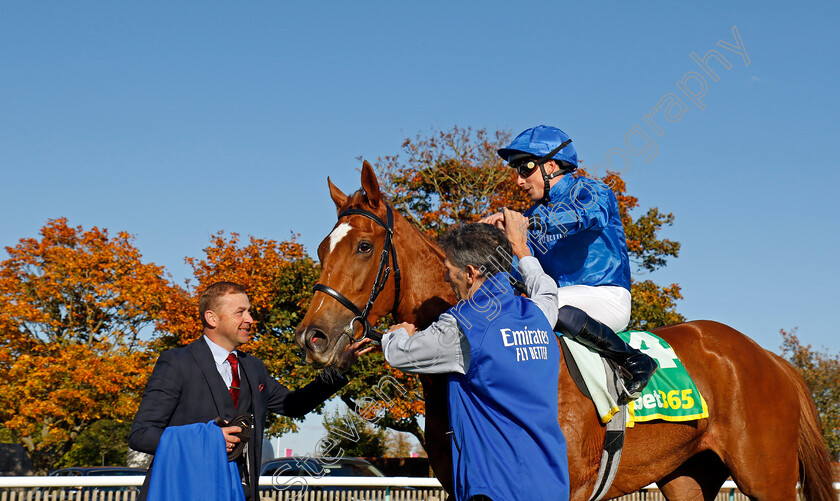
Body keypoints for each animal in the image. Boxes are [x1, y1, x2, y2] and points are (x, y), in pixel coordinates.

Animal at [296, 162, 832, 498]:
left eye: (364, 247)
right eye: (322, 248)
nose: (312, 337)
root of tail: (769, 357)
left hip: (767, 477)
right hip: (687, 474)